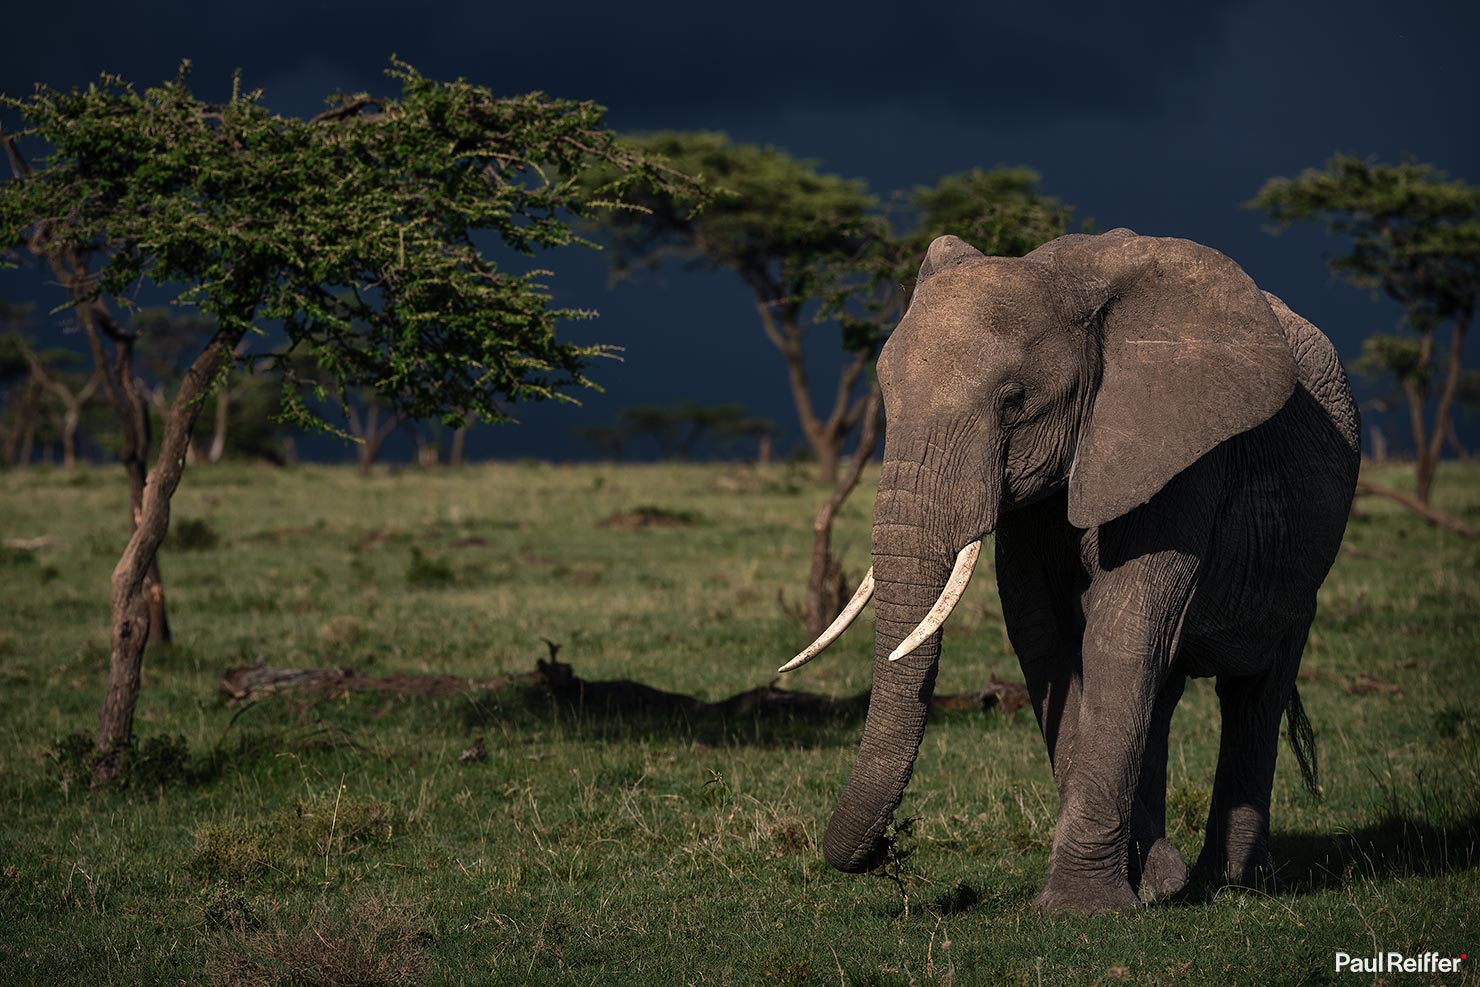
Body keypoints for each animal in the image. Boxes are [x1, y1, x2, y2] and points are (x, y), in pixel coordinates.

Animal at [781, 228, 1360, 915]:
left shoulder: (1177, 456)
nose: (886, 852)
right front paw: (1150, 882)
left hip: (1306, 568)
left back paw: (1234, 882)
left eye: (1013, 403)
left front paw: (1086, 907)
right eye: (886, 401)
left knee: (1255, 690)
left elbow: (1122, 633)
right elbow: (1043, 639)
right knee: (1164, 693)